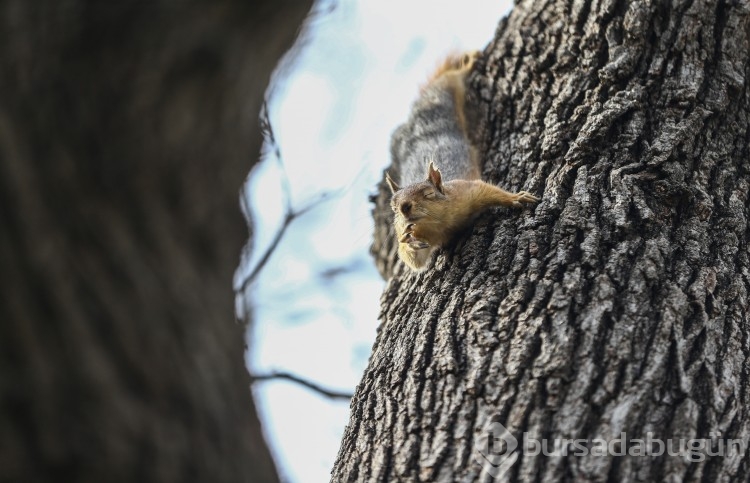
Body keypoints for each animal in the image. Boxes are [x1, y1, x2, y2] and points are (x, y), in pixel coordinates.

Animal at [388, 54, 540, 272]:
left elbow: (486, 190)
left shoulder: (465, 191)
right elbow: (415, 261)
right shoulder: (426, 237)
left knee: (450, 77)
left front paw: (515, 198)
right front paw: (407, 242)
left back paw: (467, 62)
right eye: (393, 208)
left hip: (443, 93)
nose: (404, 208)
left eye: (428, 193)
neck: (441, 224)